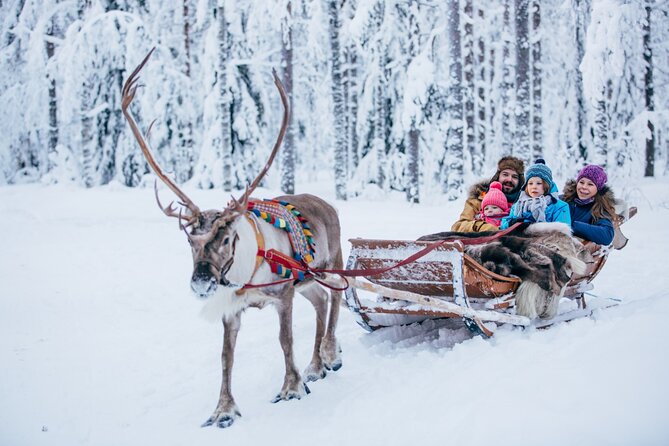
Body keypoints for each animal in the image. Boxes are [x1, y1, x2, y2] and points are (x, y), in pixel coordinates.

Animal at [121, 49, 344, 429]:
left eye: (226, 239)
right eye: (190, 241)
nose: (200, 282)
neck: (246, 274)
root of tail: (327, 203)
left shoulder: (284, 294)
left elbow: (285, 341)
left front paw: (291, 387)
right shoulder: (231, 308)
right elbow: (226, 356)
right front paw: (223, 409)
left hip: (332, 262)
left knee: (338, 297)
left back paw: (329, 354)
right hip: (308, 281)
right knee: (321, 302)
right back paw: (315, 365)